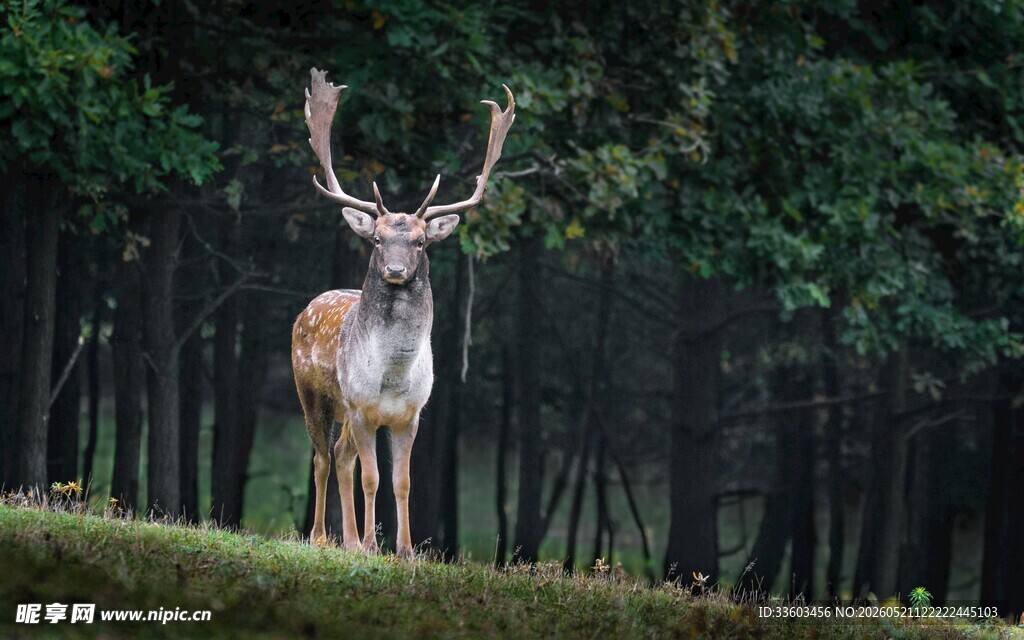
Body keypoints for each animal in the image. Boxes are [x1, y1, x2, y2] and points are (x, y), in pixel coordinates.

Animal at [292, 68, 515, 556]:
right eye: (376, 239)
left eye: (420, 241)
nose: (395, 270)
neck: (392, 376)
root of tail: (307, 308)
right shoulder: (361, 408)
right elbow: (372, 479)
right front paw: (373, 545)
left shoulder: (411, 415)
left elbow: (402, 482)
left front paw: (405, 549)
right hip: (312, 394)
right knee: (321, 457)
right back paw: (321, 537)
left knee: (340, 457)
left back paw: (348, 540)